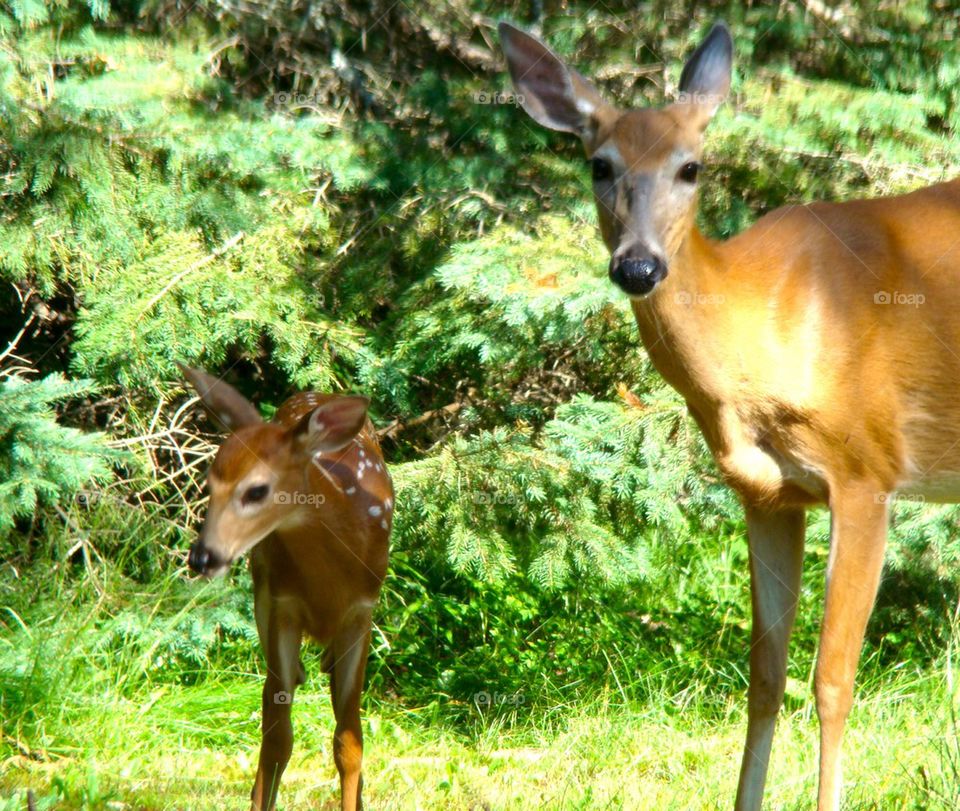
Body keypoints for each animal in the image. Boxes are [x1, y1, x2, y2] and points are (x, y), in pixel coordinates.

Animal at [180, 365, 392, 811]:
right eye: (209, 484)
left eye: (256, 489)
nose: (203, 557)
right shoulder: (282, 605)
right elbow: (278, 738)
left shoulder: (361, 612)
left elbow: (349, 740)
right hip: (263, 592)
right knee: (273, 698)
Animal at [500, 19, 960, 811]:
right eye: (598, 164)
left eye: (691, 167)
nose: (638, 266)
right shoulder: (768, 494)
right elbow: (765, 678)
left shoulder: (869, 470)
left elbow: (832, 680)